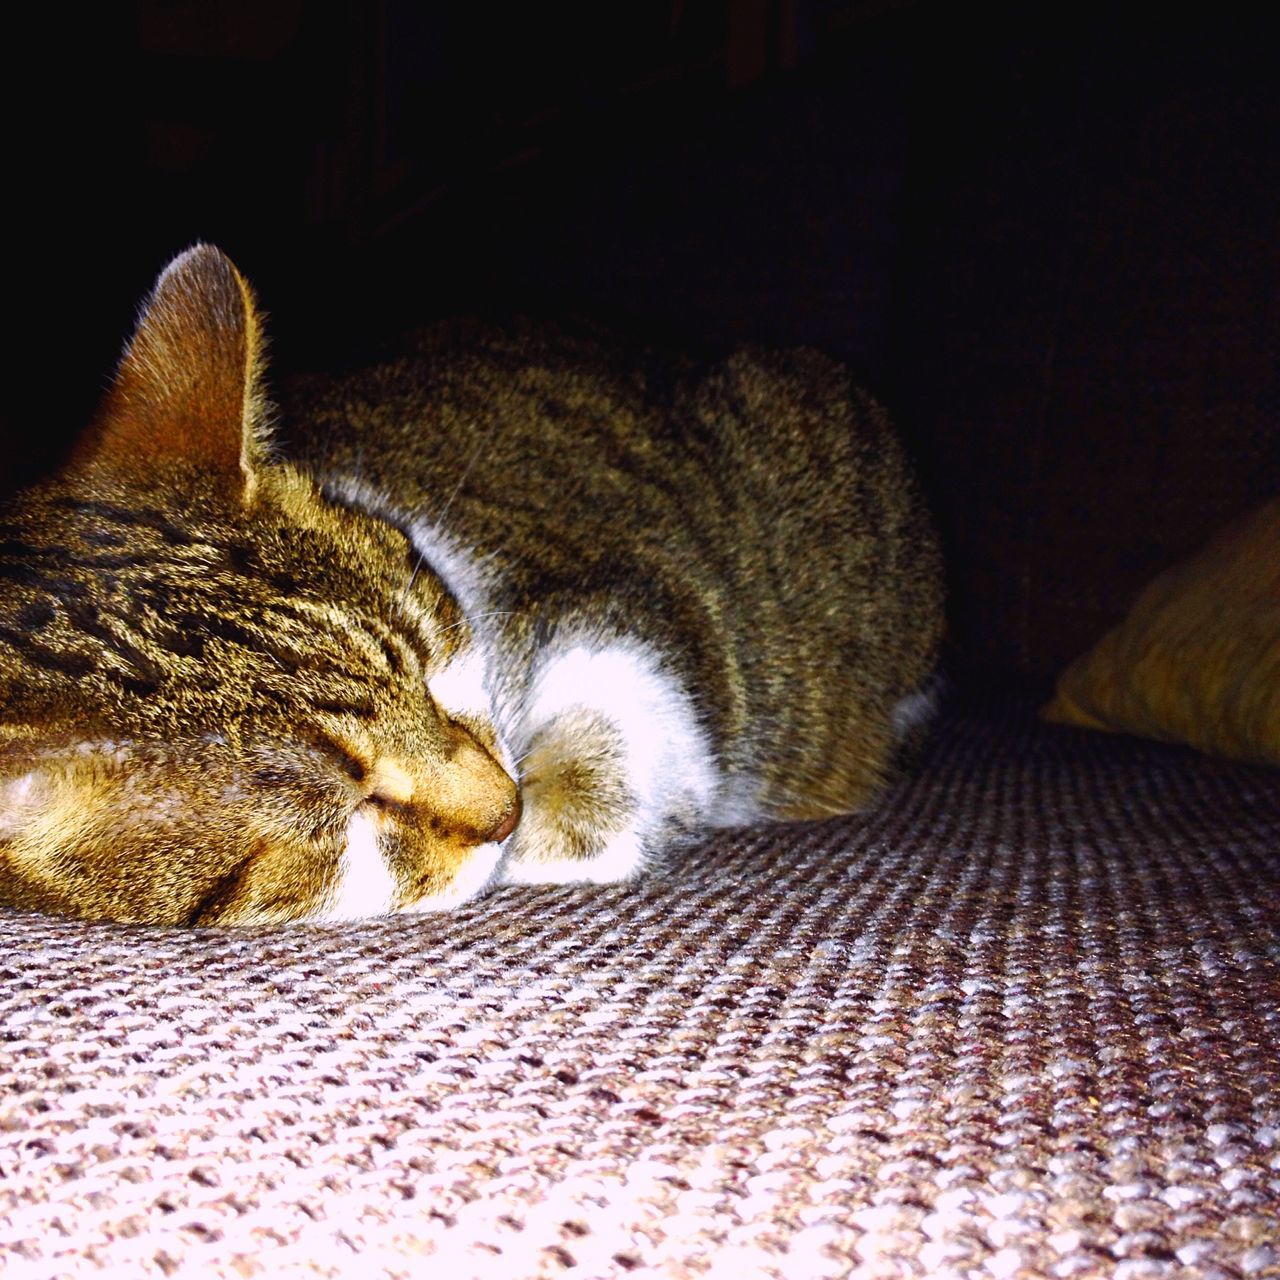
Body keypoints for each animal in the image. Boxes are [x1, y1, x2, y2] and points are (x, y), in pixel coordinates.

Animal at [0, 247, 942, 921]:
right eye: (351, 808)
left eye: (427, 662)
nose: (507, 812)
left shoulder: (627, 588)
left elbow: (634, 670)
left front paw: (562, 816)